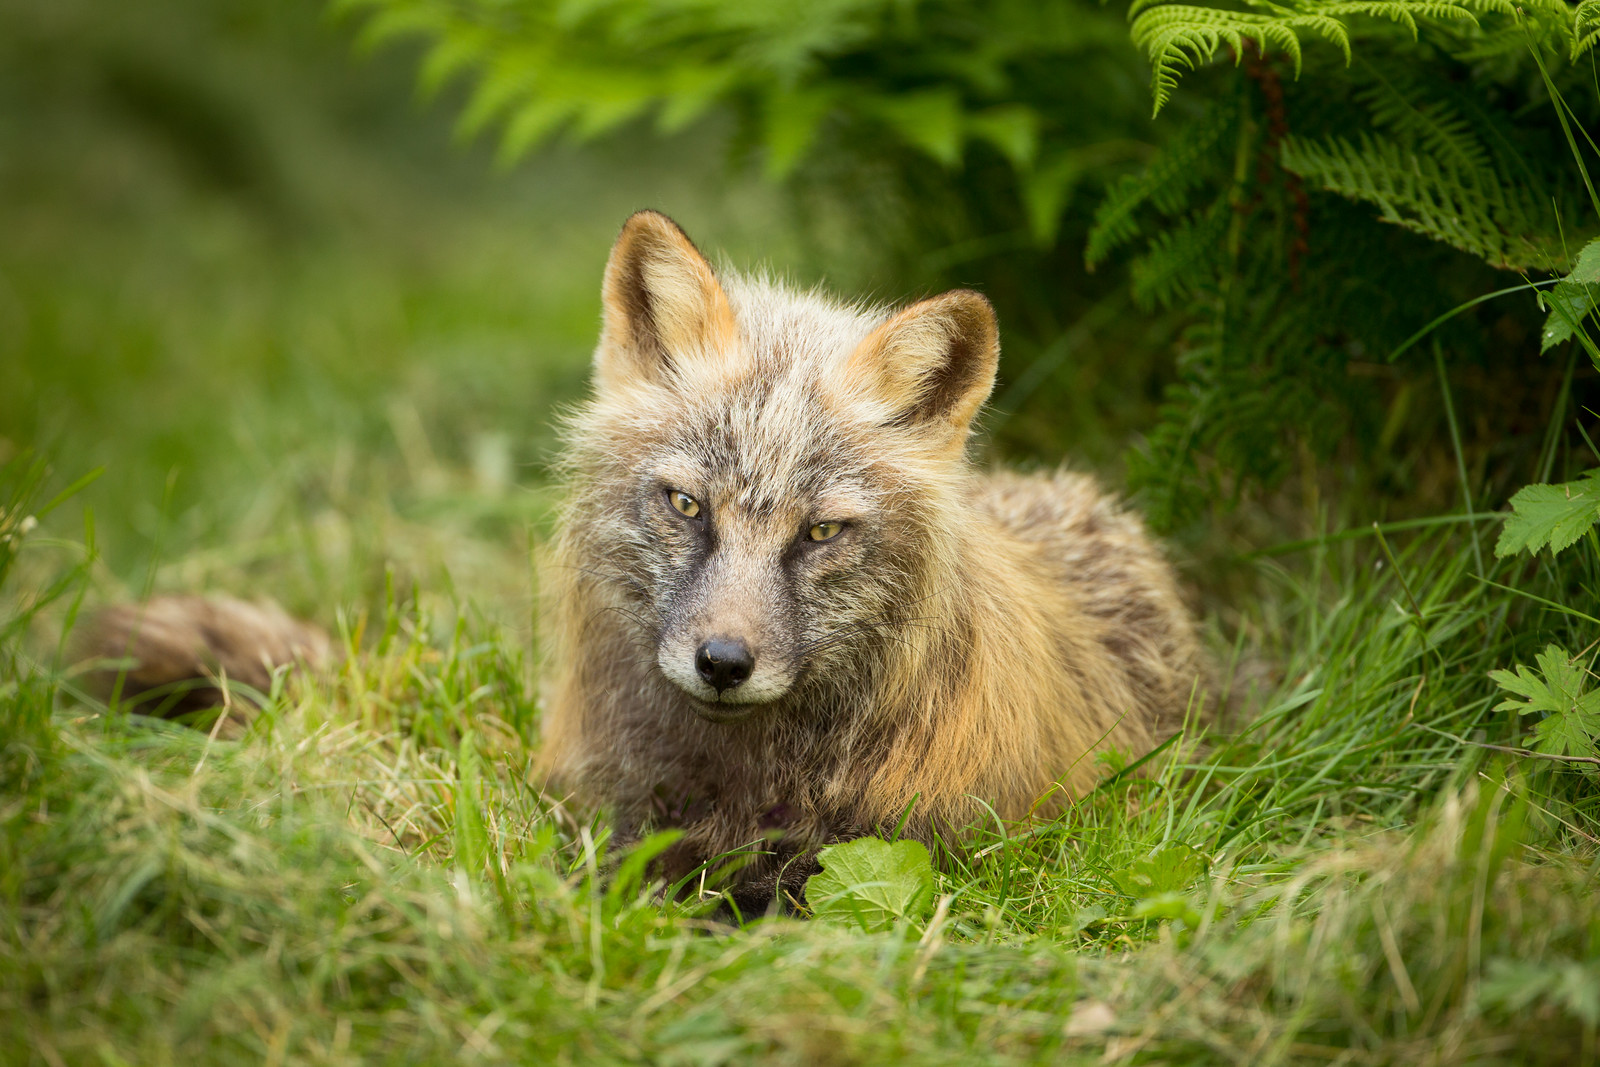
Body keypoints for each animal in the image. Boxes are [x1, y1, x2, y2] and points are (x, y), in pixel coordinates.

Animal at [82, 210, 1206, 914]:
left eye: (819, 533)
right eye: (686, 504)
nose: (723, 662)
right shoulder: (602, 815)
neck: (738, 788)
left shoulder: (916, 850)